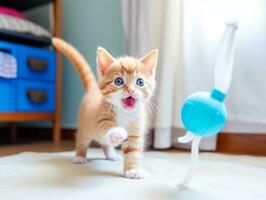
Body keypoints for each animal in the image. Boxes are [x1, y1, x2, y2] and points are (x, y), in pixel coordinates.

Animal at [52, 38, 158, 179]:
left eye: (140, 82)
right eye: (118, 81)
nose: (131, 90)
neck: (124, 113)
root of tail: (94, 90)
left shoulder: (136, 130)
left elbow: (133, 150)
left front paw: (133, 170)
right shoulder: (102, 117)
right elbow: (106, 127)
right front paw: (117, 132)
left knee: (105, 143)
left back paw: (111, 155)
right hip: (86, 127)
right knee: (82, 139)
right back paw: (79, 156)